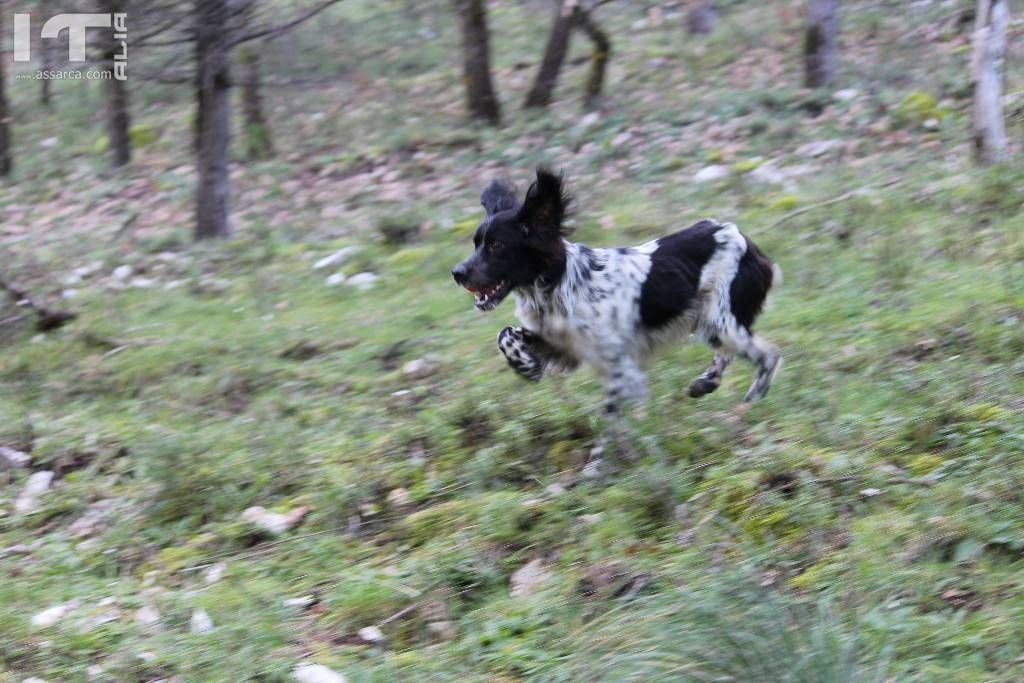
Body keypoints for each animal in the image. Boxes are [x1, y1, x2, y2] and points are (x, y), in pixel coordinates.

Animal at [452, 167, 778, 421]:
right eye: (476, 243)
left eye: (496, 245)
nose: (457, 273)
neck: (556, 286)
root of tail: (739, 235)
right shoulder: (565, 347)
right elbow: (505, 333)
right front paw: (525, 365)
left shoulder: (619, 364)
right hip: (714, 323)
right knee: (730, 353)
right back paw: (707, 382)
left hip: (721, 320)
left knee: (769, 356)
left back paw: (749, 402)